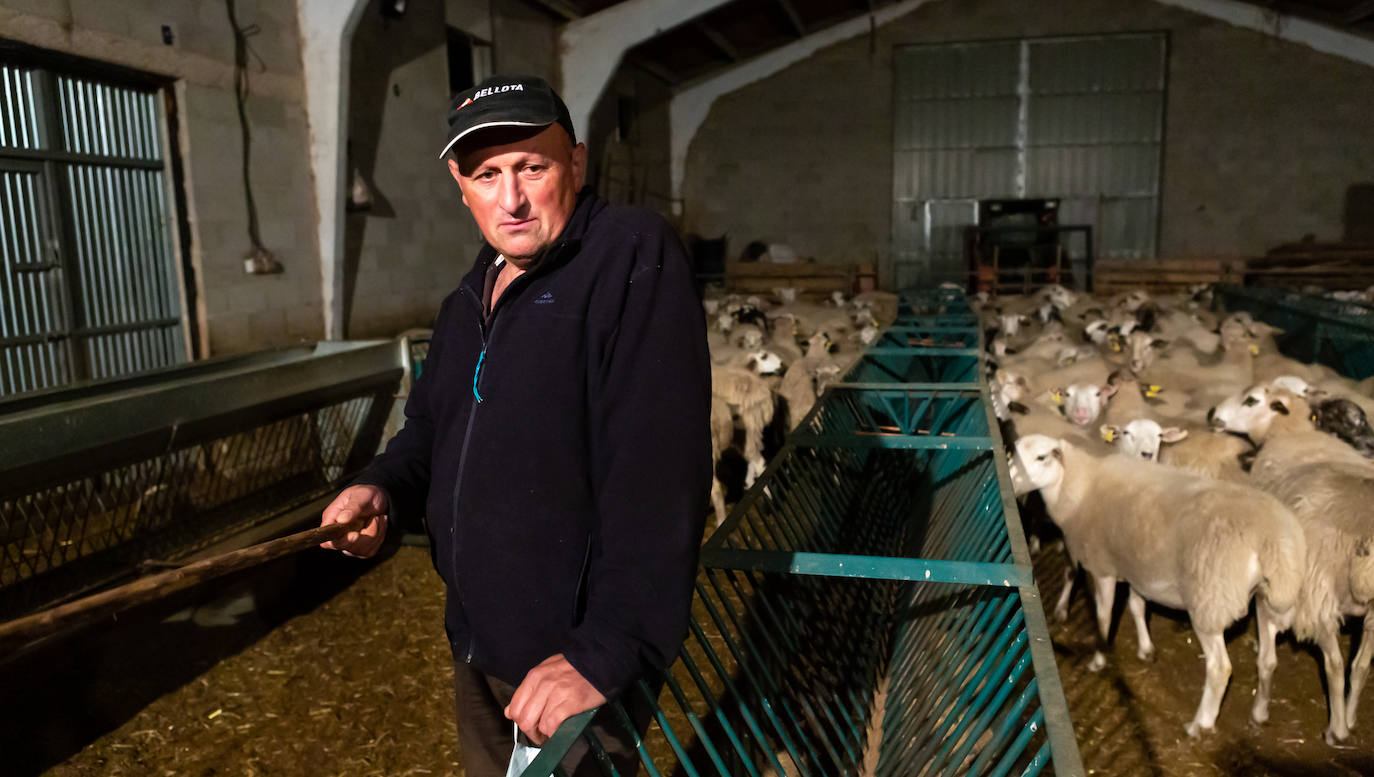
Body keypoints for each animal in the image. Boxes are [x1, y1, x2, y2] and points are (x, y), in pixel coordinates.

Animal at [1011, 436, 1308, 741]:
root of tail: (1272, 540)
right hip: (1267, 599)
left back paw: (1199, 724)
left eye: (1041, 457)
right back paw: (1259, 713)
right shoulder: (1136, 569)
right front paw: (1146, 648)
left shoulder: (1104, 567)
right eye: (1013, 452)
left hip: (1208, 601)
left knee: (1219, 668)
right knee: (1268, 660)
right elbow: (1137, 607)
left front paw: (1099, 659)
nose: (1010, 481)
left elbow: (1104, 618)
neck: (1080, 486)